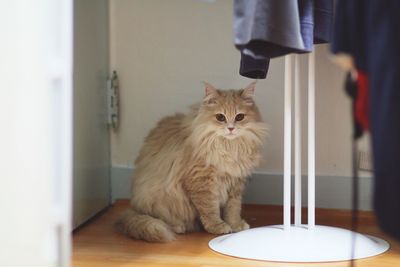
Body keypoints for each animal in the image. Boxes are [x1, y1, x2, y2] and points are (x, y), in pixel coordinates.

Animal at [116, 81, 268, 243]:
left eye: (239, 117)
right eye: (220, 117)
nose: (231, 128)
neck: (229, 148)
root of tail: (133, 208)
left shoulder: (236, 183)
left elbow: (233, 208)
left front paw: (235, 225)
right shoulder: (201, 181)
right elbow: (209, 209)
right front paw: (218, 227)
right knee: (161, 219)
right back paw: (178, 227)